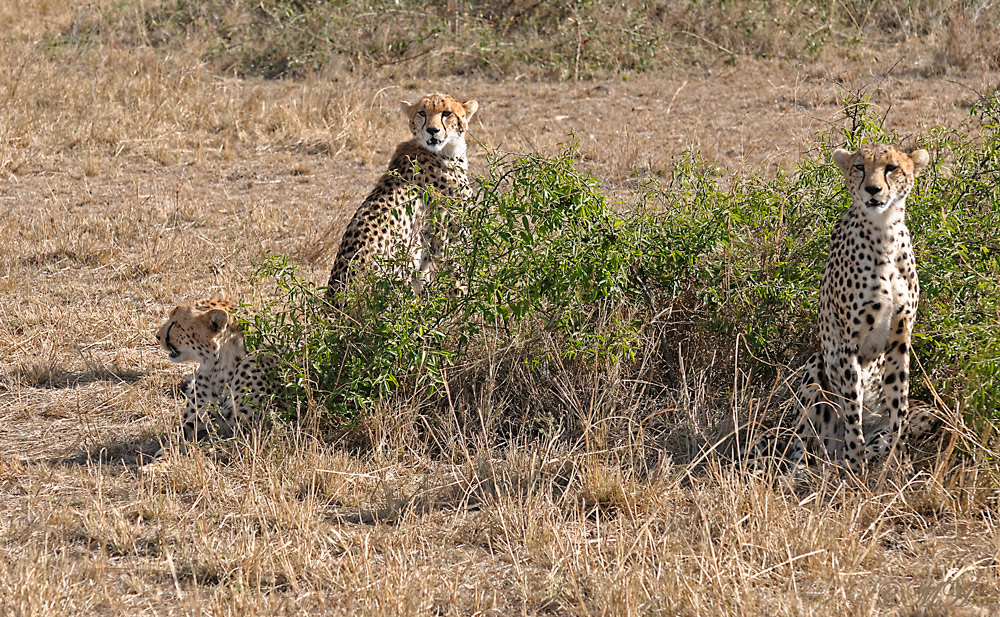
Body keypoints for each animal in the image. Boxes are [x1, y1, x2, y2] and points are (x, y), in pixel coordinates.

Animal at [156, 296, 274, 450]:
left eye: (174, 324)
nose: (157, 336)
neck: (219, 366)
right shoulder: (192, 421)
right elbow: (172, 442)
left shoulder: (244, 431)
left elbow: (214, 447)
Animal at [326, 92, 478, 304]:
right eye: (422, 113)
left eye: (447, 113)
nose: (432, 131)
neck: (444, 152)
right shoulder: (447, 245)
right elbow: (458, 285)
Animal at [756, 143, 936, 472]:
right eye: (860, 167)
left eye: (892, 167)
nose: (872, 189)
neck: (884, 231)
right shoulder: (847, 343)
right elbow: (853, 408)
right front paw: (856, 465)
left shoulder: (900, 337)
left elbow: (899, 404)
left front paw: (898, 464)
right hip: (815, 370)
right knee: (800, 450)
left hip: (929, 412)